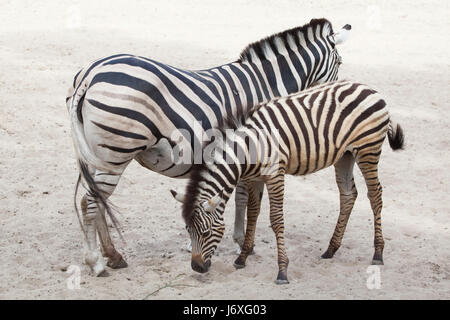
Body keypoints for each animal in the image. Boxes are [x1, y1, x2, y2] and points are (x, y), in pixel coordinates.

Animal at [66, 18, 352, 276]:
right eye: (339, 63)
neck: (267, 84)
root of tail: (91, 74)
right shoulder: (253, 151)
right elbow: (246, 200)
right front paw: (242, 243)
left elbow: (237, 199)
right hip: (115, 153)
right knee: (90, 202)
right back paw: (96, 262)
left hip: (100, 155)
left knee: (97, 200)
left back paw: (113, 255)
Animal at [175, 81, 404, 284]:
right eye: (188, 230)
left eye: (205, 233)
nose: (197, 267)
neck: (248, 150)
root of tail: (369, 88)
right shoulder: (254, 178)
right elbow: (253, 214)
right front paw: (243, 257)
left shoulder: (275, 174)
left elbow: (276, 220)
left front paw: (282, 271)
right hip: (345, 155)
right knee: (348, 195)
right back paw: (331, 249)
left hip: (368, 149)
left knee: (375, 195)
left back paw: (378, 252)